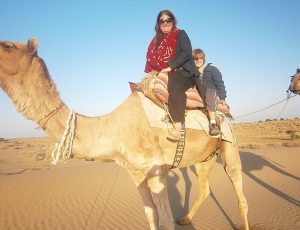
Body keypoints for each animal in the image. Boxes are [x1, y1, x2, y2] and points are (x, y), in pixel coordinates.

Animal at [0, 38, 248, 230]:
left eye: (7, 46)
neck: (116, 130)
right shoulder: (136, 174)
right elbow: (151, 215)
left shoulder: (157, 172)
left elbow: (166, 220)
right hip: (205, 157)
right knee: (205, 189)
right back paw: (186, 218)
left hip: (229, 144)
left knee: (239, 192)